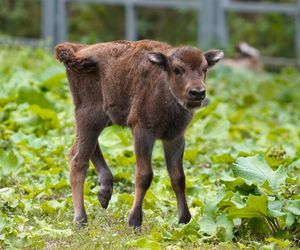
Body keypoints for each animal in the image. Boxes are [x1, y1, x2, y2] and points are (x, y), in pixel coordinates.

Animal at [55, 39, 223, 229]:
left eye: (205, 68)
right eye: (177, 69)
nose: (197, 92)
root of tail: (78, 49)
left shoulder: (175, 138)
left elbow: (178, 177)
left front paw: (184, 220)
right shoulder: (143, 132)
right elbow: (144, 175)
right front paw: (134, 221)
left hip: (103, 118)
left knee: (83, 148)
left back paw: (104, 193)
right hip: (89, 115)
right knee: (78, 159)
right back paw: (81, 219)